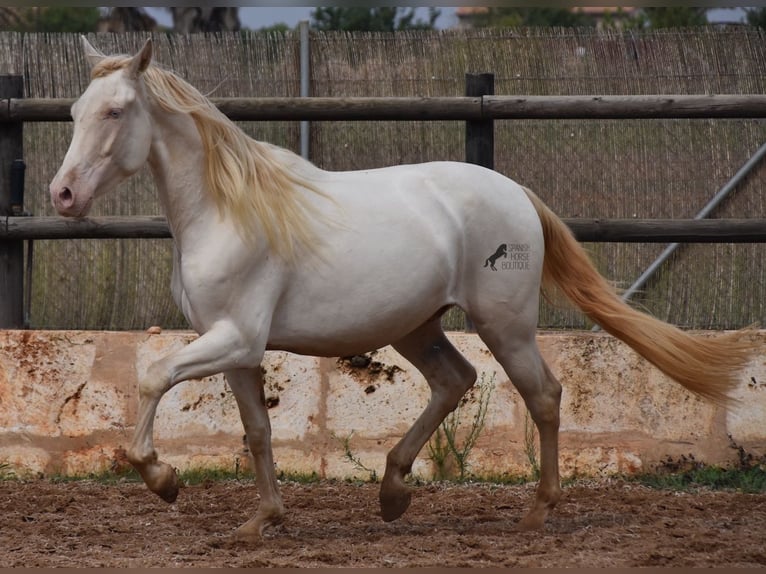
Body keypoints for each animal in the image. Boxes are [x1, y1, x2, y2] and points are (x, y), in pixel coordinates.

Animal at [49, 37, 760, 540]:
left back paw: (537, 510)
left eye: (116, 111)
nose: (63, 195)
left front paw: (163, 479)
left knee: (543, 395)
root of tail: (516, 192)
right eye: (76, 111)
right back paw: (393, 491)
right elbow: (257, 431)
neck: (227, 211)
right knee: (455, 380)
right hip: (418, 326)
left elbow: (153, 377)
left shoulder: (235, 339)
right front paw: (262, 521)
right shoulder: (236, 349)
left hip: (505, 324)